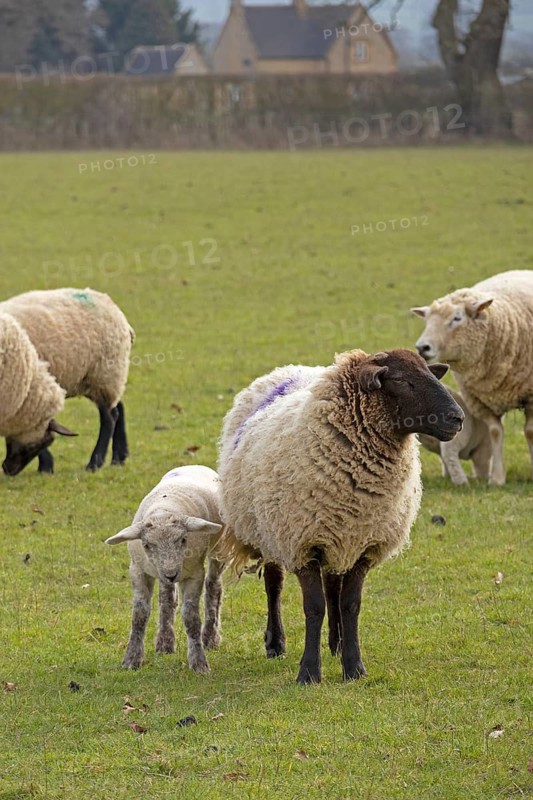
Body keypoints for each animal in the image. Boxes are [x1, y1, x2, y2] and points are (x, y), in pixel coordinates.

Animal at [105, 465, 224, 672]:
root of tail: (194, 466)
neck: (165, 508)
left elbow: (191, 617)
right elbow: (139, 614)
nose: (171, 574)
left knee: (213, 587)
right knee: (167, 598)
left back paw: (210, 637)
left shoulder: (194, 574)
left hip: (219, 549)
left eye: (183, 539)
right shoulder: (138, 570)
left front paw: (199, 663)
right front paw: (131, 659)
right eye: (146, 545)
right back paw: (165, 642)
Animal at [218, 349, 464, 684]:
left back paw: (336, 643)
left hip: (337, 534)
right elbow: (314, 607)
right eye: (401, 380)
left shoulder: (363, 544)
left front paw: (354, 666)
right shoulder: (302, 544)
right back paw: (276, 643)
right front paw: (309, 671)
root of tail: (290, 369)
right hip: (269, 529)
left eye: (429, 372)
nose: (458, 418)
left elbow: (349, 605)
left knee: (332, 585)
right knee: (274, 584)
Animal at [411, 270, 533, 486]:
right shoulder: (479, 400)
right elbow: (495, 432)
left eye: (457, 318)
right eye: (427, 320)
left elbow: (529, 432)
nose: (422, 347)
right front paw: (497, 478)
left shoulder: (530, 396)